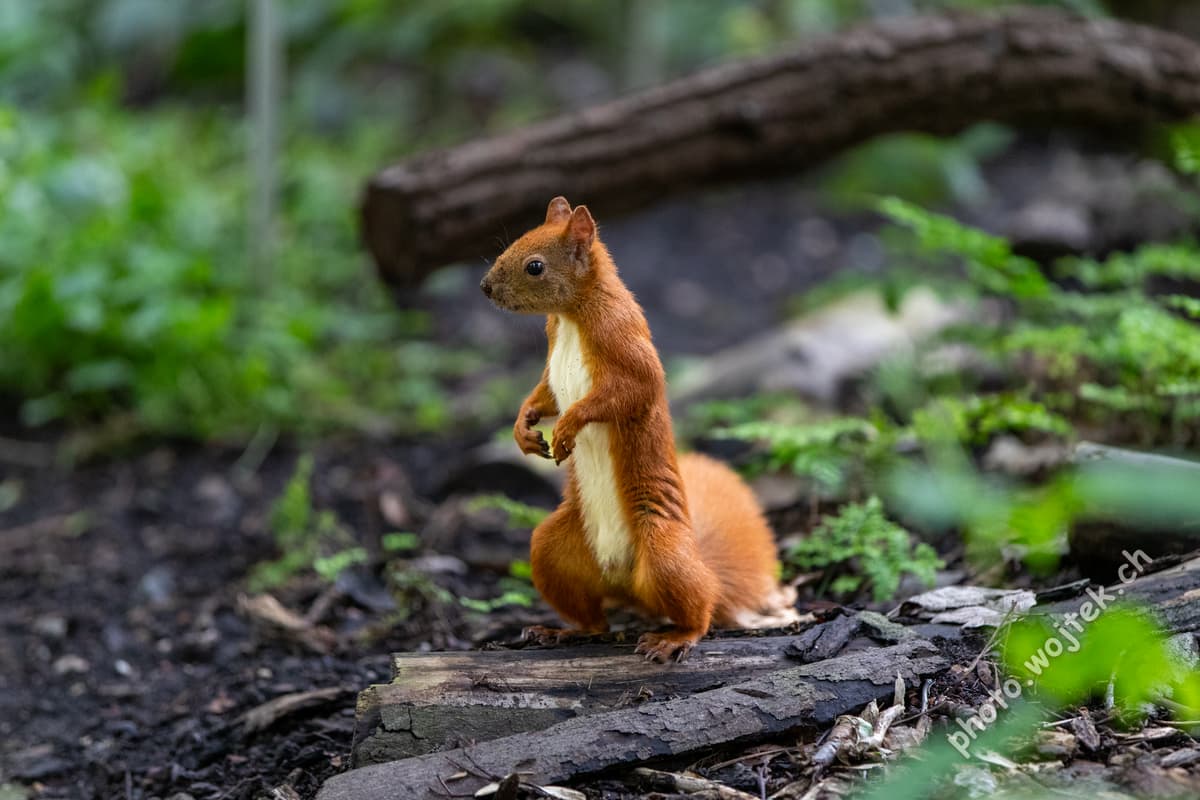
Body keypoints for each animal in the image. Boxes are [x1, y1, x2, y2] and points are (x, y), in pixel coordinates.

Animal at [480, 196, 797, 662]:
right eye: (514, 241)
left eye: (534, 266)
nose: (485, 287)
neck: (571, 316)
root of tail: (626, 584)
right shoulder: (553, 359)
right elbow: (545, 395)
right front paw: (524, 428)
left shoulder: (625, 344)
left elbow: (626, 393)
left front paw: (568, 427)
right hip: (552, 551)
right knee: (595, 620)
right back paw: (562, 631)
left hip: (664, 554)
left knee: (700, 612)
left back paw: (673, 638)